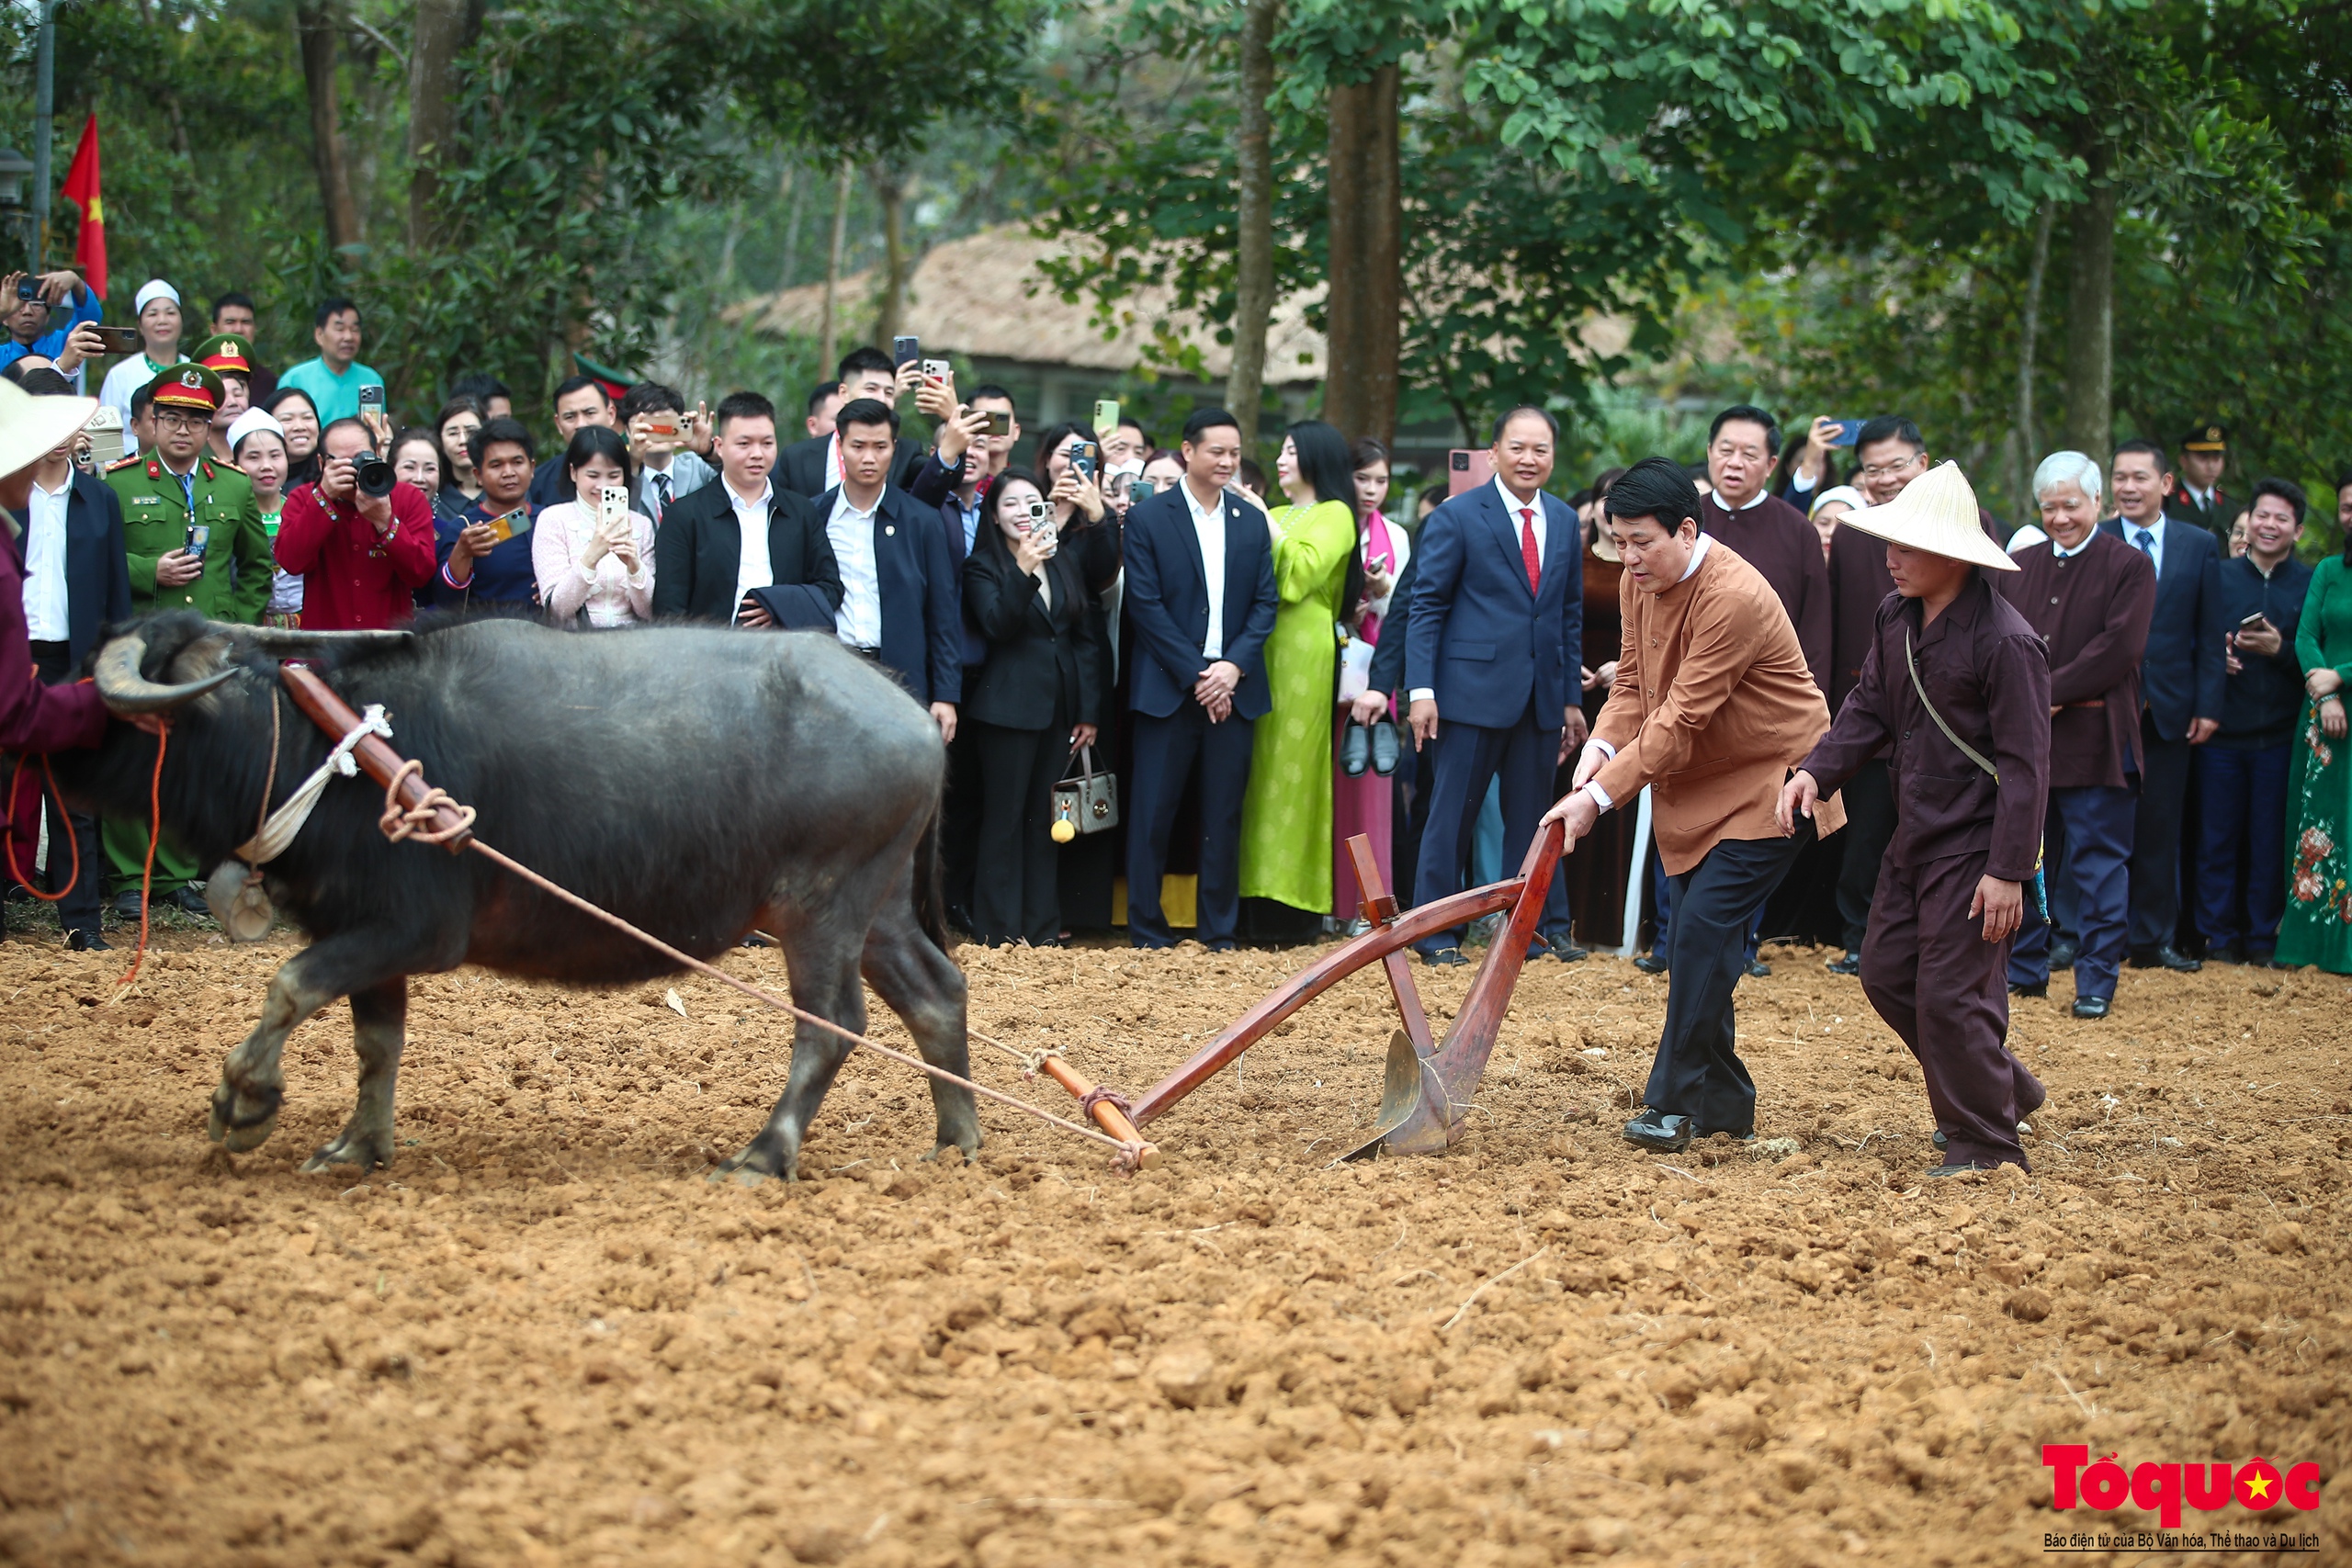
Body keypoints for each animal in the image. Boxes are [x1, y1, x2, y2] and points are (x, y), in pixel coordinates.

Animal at [55, 606, 978, 1184]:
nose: (55, 740)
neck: (332, 753)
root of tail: (915, 716)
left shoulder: (413, 928)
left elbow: (288, 984)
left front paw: (244, 1102)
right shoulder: (369, 933)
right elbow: (375, 1042)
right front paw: (356, 1146)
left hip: (820, 906)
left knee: (833, 1023)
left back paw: (761, 1154)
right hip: (878, 908)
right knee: (937, 994)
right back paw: (957, 1140)